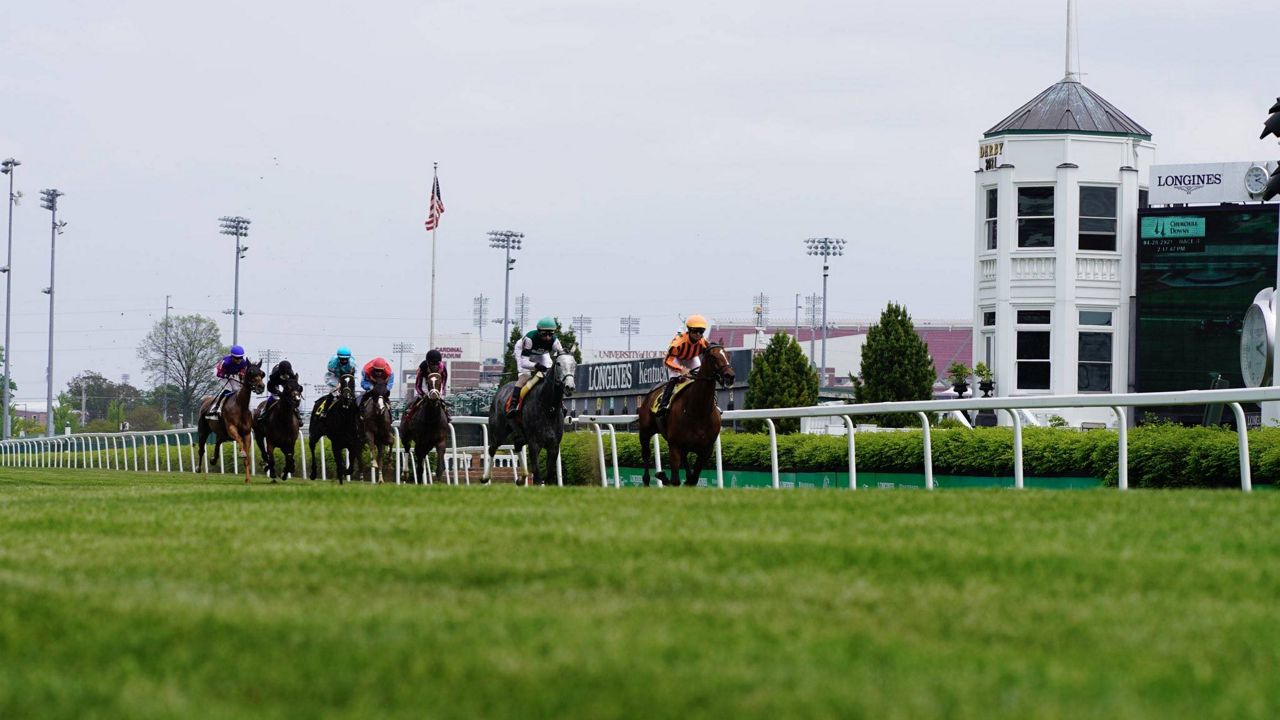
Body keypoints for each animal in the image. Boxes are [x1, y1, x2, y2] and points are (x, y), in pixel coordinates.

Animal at [481, 351, 578, 484]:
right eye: (558, 363)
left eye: (575, 364)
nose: (569, 387)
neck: (548, 408)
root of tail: (499, 391)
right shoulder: (534, 443)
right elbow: (537, 476)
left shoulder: (554, 445)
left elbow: (549, 476)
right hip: (499, 432)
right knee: (492, 449)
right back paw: (486, 477)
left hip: (522, 435)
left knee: (517, 444)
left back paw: (522, 478)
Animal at [637, 343, 737, 486]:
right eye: (713, 357)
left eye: (728, 355)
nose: (730, 376)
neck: (698, 412)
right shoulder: (674, 446)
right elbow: (675, 480)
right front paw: (664, 476)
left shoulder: (706, 449)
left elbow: (693, 479)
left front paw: (680, 479)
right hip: (645, 432)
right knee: (646, 455)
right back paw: (649, 479)